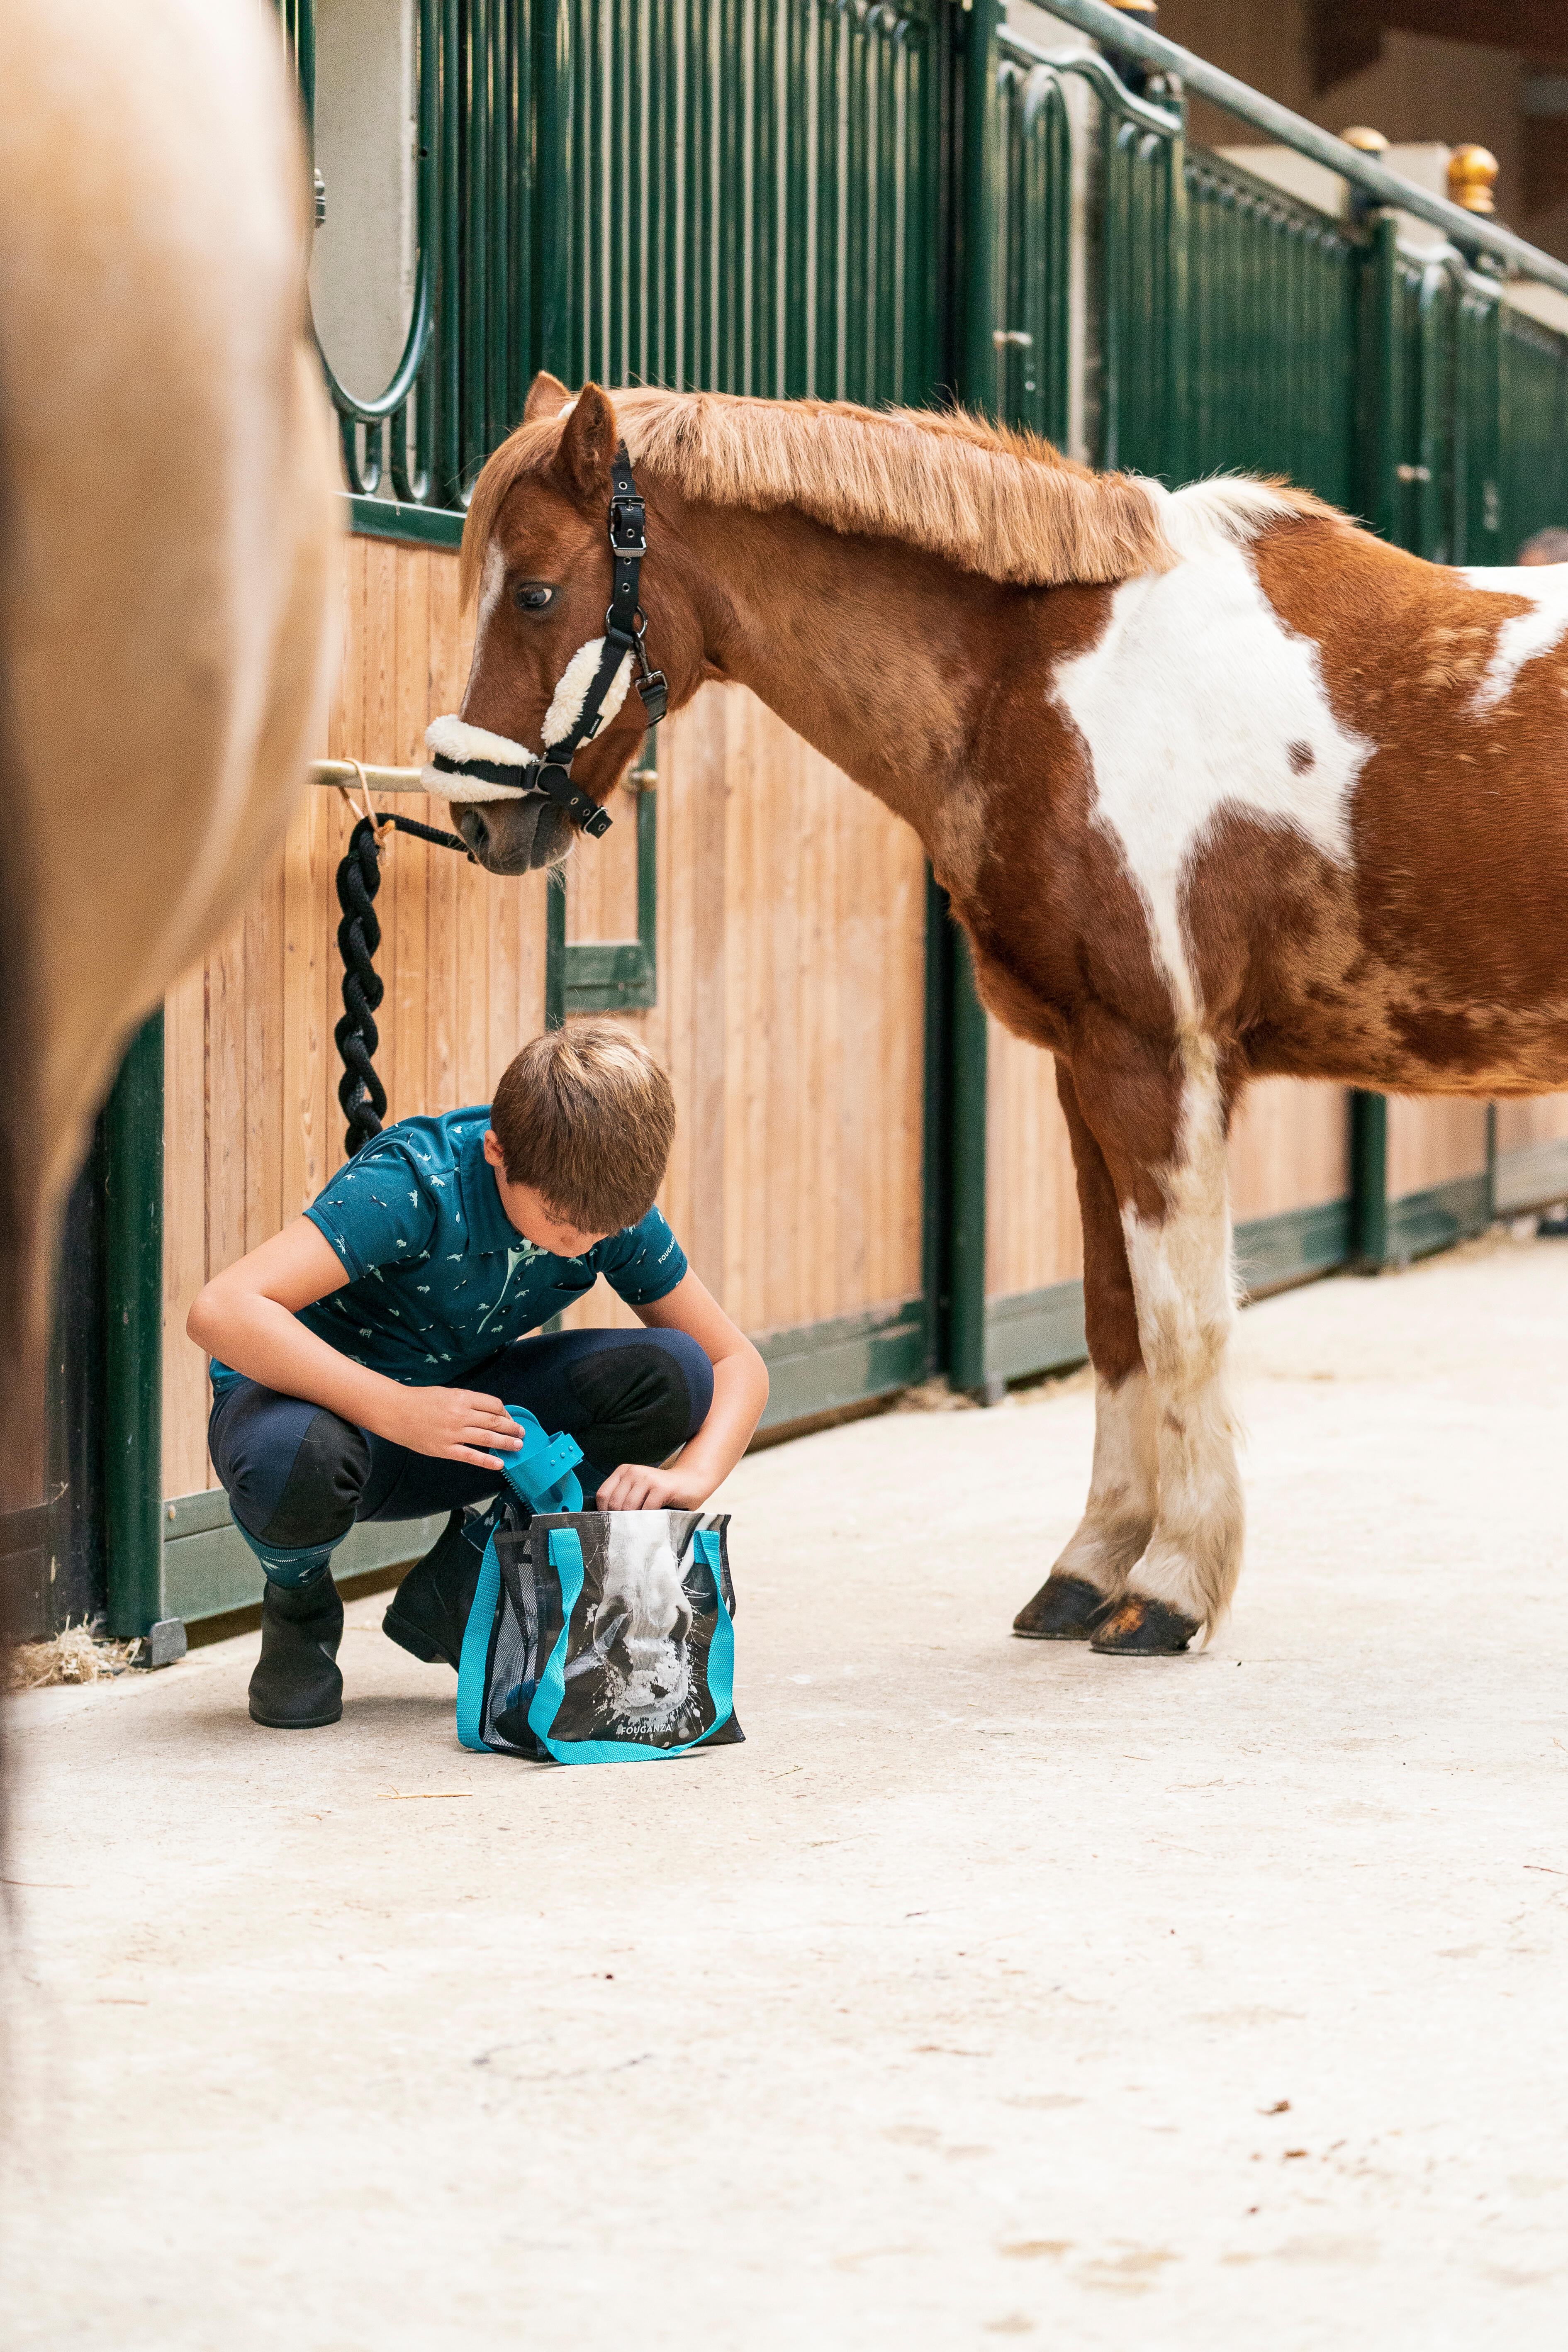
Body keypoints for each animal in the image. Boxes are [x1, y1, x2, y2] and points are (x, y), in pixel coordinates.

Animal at [435, 371, 1568, 1656]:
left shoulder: (1156, 1062)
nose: (475, 817)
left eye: (535, 589)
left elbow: (1182, 1320)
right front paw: (1088, 1570)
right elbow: (1113, 1317)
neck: (1054, 680)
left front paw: (1170, 1589)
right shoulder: (1087, 1068)